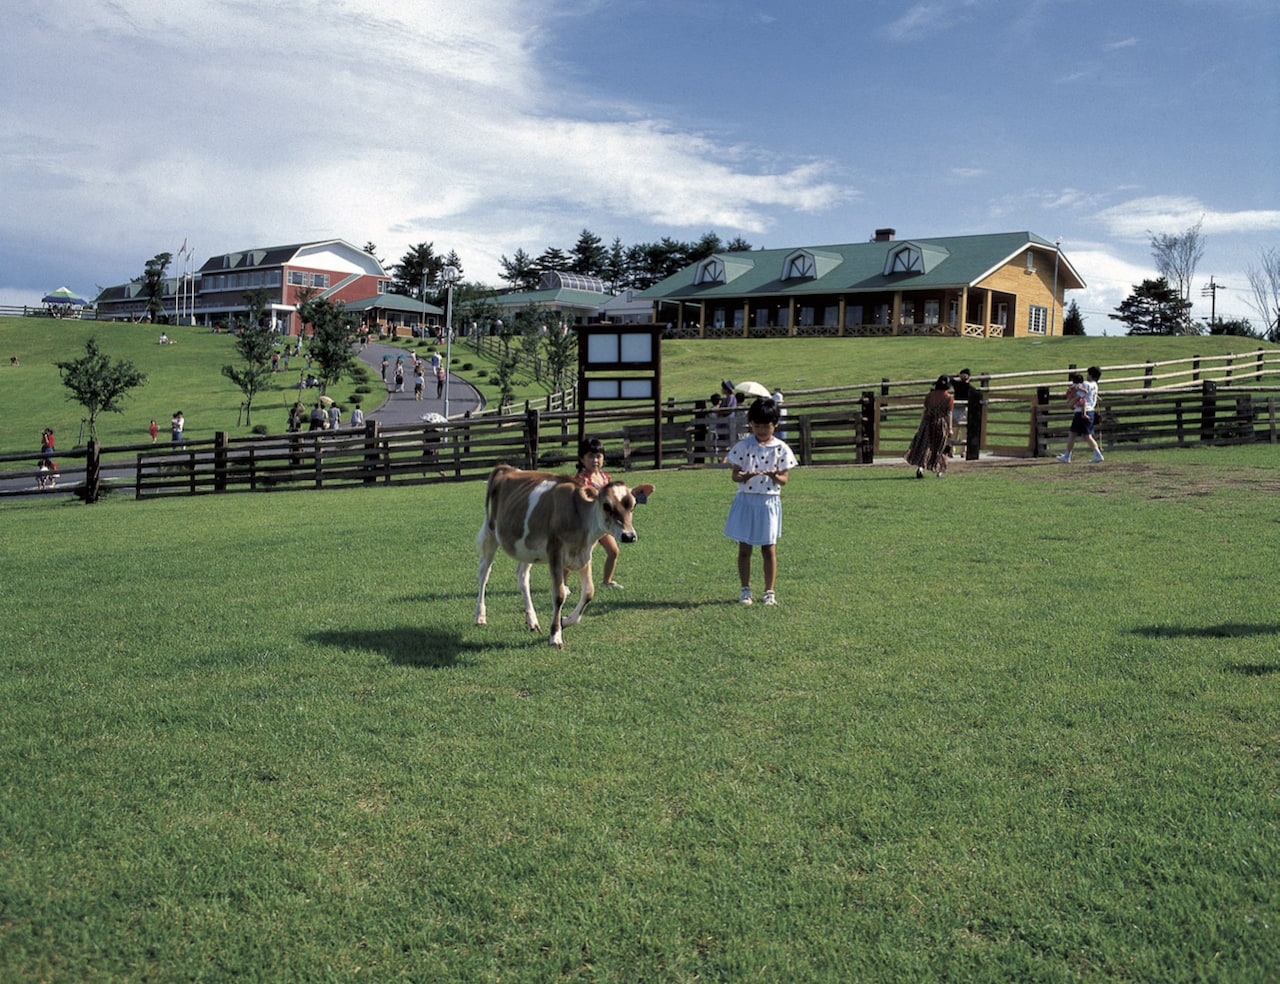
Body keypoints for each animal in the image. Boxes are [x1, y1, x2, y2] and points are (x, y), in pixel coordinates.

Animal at [476, 465, 655, 650]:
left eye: (633, 505)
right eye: (606, 505)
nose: (629, 536)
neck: (578, 516)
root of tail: (506, 468)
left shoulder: (584, 554)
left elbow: (589, 592)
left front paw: (565, 621)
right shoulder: (555, 553)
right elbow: (559, 595)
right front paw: (555, 635)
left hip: (526, 547)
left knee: (522, 576)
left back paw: (532, 621)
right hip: (490, 532)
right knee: (484, 572)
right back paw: (480, 616)